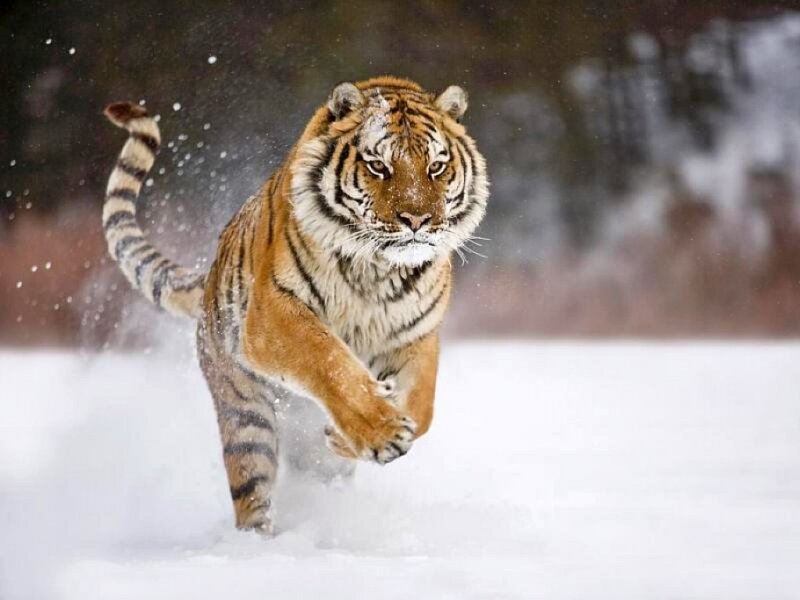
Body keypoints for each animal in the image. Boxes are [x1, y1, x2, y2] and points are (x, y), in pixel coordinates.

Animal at [101, 76, 489, 534]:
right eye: (378, 166)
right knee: (252, 492)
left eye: (436, 167)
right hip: (246, 418)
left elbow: (423, 405)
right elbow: (330, 361)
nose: (417, 220)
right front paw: (381, 430)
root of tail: (209, 275)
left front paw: (352, 434)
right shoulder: (273, 316)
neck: (377, 268)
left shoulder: (415, 335)